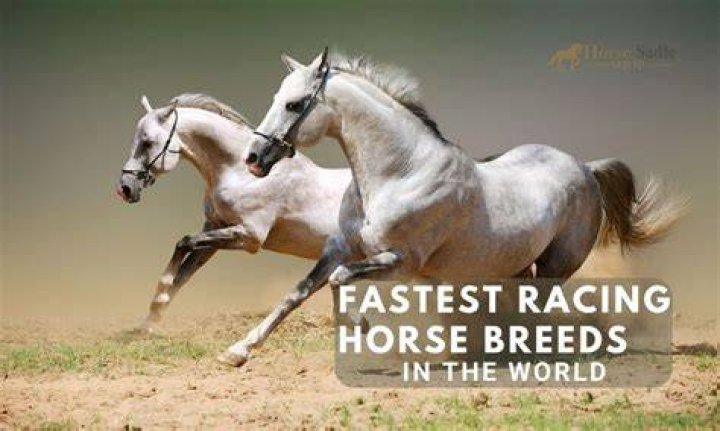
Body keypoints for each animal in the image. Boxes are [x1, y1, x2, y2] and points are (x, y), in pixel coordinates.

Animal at [116, 93, 351, 332]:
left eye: (147, 142)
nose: (125, 188)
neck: (241, 174)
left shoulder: (250, 236)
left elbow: (184, 243)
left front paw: (159, 297)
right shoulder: (215, 229)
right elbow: (184, 273)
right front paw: (147, 324)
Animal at [218, 48, 684, 367]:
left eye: (295, 104)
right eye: (278, 96)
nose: (254, 159)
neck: (400, 173)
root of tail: (586, 168)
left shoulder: (401, 261)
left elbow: (339, 280)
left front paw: (362, 326)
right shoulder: (339, 248)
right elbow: (298, 293)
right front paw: (238, 350)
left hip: (557, 264)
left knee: (536, 307)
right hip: (517, 264)